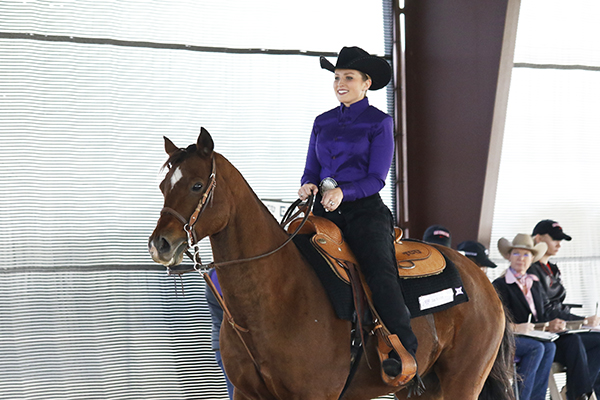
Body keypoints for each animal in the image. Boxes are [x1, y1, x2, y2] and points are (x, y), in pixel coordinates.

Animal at [148, 129, 512, 400]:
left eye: (197, 185)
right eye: (163, 186)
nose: (159, 244)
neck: (276, 294)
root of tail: (482, 282)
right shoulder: (245, 393)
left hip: (463, 382)